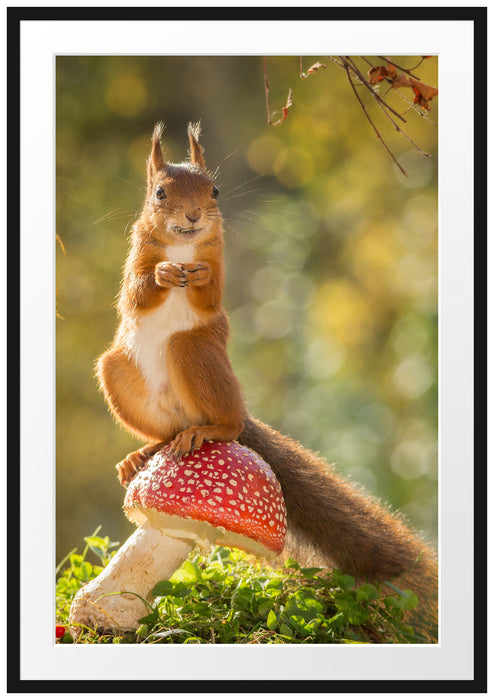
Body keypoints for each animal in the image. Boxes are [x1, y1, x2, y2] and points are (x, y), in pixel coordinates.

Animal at [96, 122, 438, 641]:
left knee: (228, 423)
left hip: (196, 352)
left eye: (214, 191)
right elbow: (137, 290)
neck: (183, 248)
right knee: (166, 433)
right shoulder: (137, 255)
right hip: (117, 371)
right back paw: (143, 453)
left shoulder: (218, 261)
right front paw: (164, 273)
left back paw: (210, 429)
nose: (194, 216)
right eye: (159, 193)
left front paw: (196, 277)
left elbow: (211, 291)